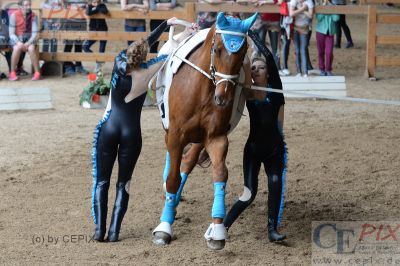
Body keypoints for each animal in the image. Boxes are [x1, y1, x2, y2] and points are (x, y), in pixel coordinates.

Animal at [152, 12, 258, 249]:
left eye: (243, 52)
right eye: (216, 48)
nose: (223, 98)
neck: (201, 90)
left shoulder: (216, 137)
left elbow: (220, 174)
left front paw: (217, 230)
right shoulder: (176, 135)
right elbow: (172, 177)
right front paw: (164, 228)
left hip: (200, 138)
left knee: (187, 162)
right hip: (170, 129)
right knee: (173, 162)